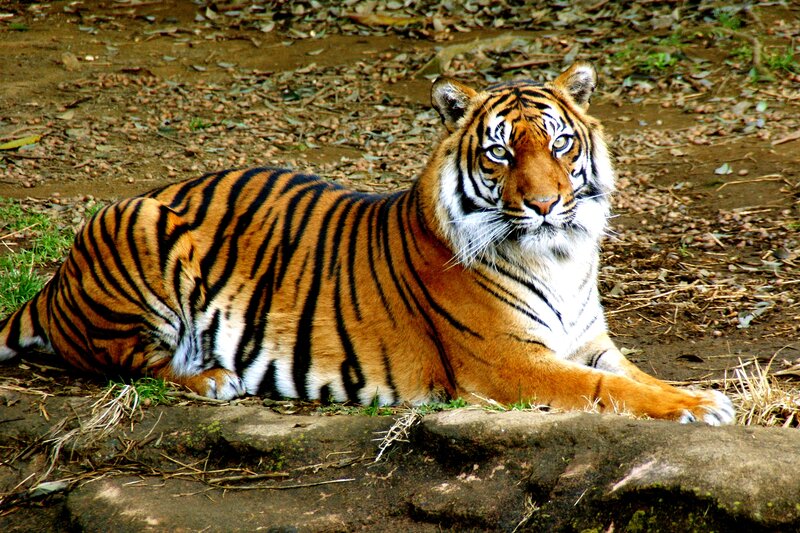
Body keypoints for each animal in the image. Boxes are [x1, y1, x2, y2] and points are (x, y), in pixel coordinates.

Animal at [0, 62, 734, 424]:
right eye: (500, 153)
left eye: (559, 144)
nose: (546, 204)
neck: (560, 256)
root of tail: (56, 279)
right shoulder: (510, 362)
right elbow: (610, 391)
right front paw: (700, 406)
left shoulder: (590, 343)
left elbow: (637, 376)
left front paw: (704, 393)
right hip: (141, 226)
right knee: (125, 361)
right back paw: (213, 377)